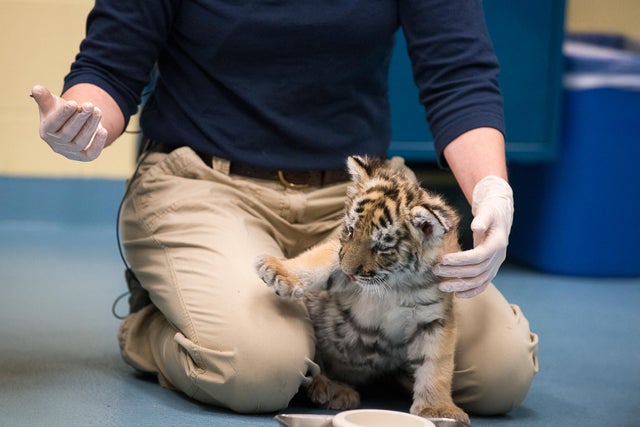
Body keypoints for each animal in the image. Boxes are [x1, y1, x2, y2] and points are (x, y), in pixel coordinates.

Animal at [254, 155, 468, 423]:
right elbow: (319, 259)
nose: (348, 270)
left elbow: (437, 363)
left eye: (380, 246)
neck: (397, 282)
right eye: (351, 230)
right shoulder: (340, 269)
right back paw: (332, 390)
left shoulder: (434, 319)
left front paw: (437, 408)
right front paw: (276, 270)